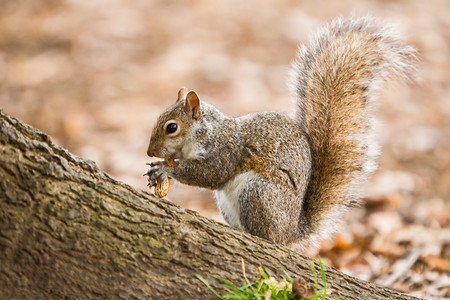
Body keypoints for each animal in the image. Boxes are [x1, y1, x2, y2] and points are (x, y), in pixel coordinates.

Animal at [144, 17, 414, 251]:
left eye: (171, 127)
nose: (150, 151)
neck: (205, 132)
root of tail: (291, 231)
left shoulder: (224, 151)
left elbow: (208, 174)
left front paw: (165, 168)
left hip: (258, 193)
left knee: (267, 236)